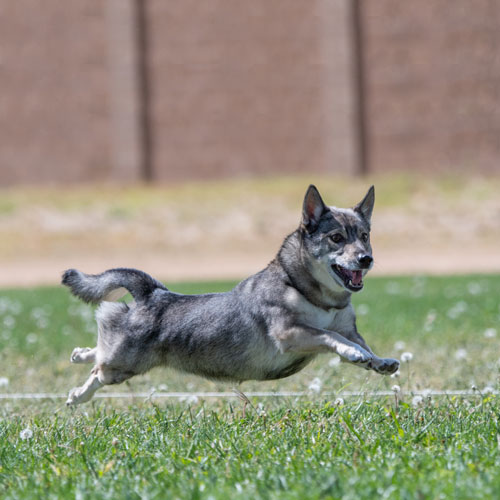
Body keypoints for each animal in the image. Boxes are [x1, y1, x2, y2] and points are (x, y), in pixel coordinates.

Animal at [61, 185, 398, 406]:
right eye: (337, 238)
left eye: (365, 236)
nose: (366, 258)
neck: (313, 294)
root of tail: (153, 293)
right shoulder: (290, 333)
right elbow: (332, 338)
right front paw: (354, 353)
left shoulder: (347, 328)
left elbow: (361, 344)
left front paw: (377, 361)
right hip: (123, 365)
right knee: (98, 370)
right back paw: (77, 395)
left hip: (122, 358)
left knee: (99, 351)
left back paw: (79, 354)